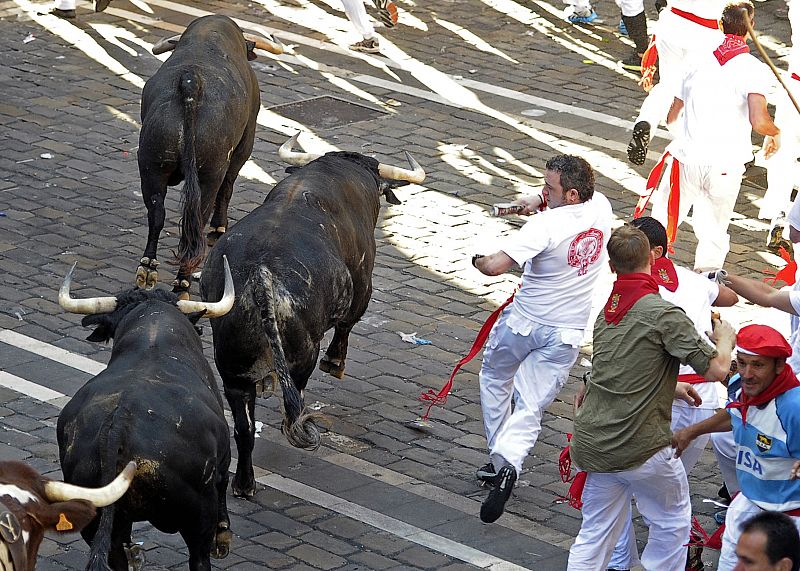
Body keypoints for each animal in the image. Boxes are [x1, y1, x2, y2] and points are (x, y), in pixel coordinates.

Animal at [136, 15, 258, 298]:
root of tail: (192, 83)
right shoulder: (242, 149)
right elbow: (228, 189)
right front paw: (219, 227)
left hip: (151, 166)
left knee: (156, 214)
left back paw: (147, 269)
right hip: (209, 174)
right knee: (196, 223)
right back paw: (182, 282)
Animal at [203, 151, 422, 496]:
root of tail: (260, 274)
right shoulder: (363, 286)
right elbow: (347, 325)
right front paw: (335, 363)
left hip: (232, 370)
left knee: (243, 428)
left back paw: (244, 483)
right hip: (302, 352)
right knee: (294, 399)